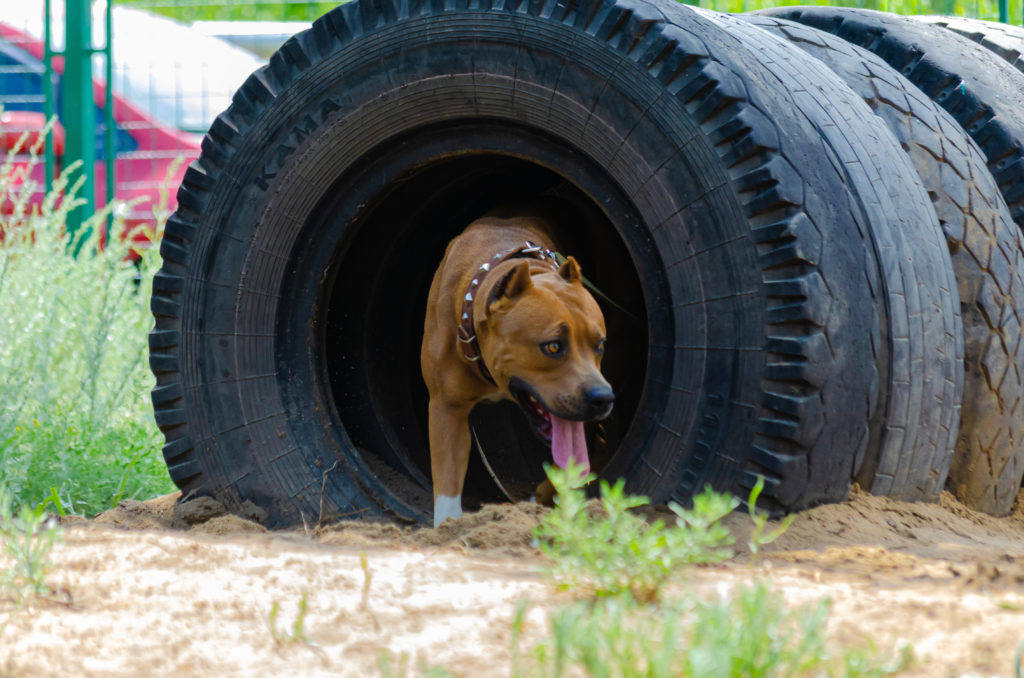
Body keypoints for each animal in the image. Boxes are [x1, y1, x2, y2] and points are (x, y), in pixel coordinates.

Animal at [419, 204, 610, 528]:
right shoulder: (447, 409)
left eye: (600, 345)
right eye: (553, 346)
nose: (603, 398)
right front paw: (447, 527)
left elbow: (569, 465)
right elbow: (447, 487)